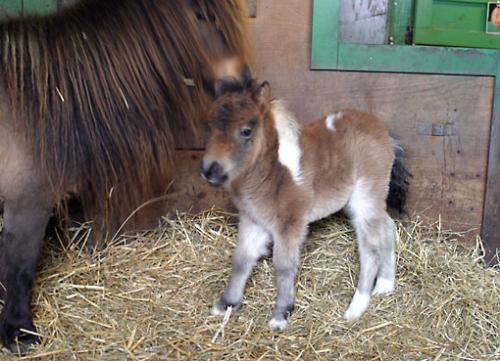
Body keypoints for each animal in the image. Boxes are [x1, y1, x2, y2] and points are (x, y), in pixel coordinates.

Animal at [0, 0, 250, 352]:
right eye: (205, 16)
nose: (244, 82)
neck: (41, 96)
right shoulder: (27, 203)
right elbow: (19, 267)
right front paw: (19, 332)